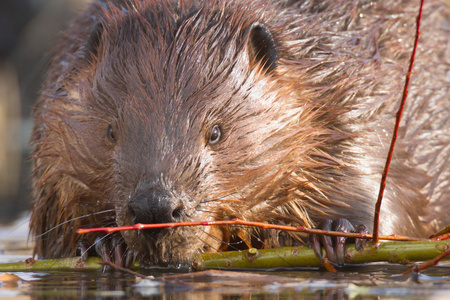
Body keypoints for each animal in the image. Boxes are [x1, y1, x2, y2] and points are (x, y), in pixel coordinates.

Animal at [29, 0, 448, 268]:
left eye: (215, 132)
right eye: (112, 131)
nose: (155, 208)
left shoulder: (352, 105)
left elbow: (383, 200)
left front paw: (341, 232)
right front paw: (102, 243)